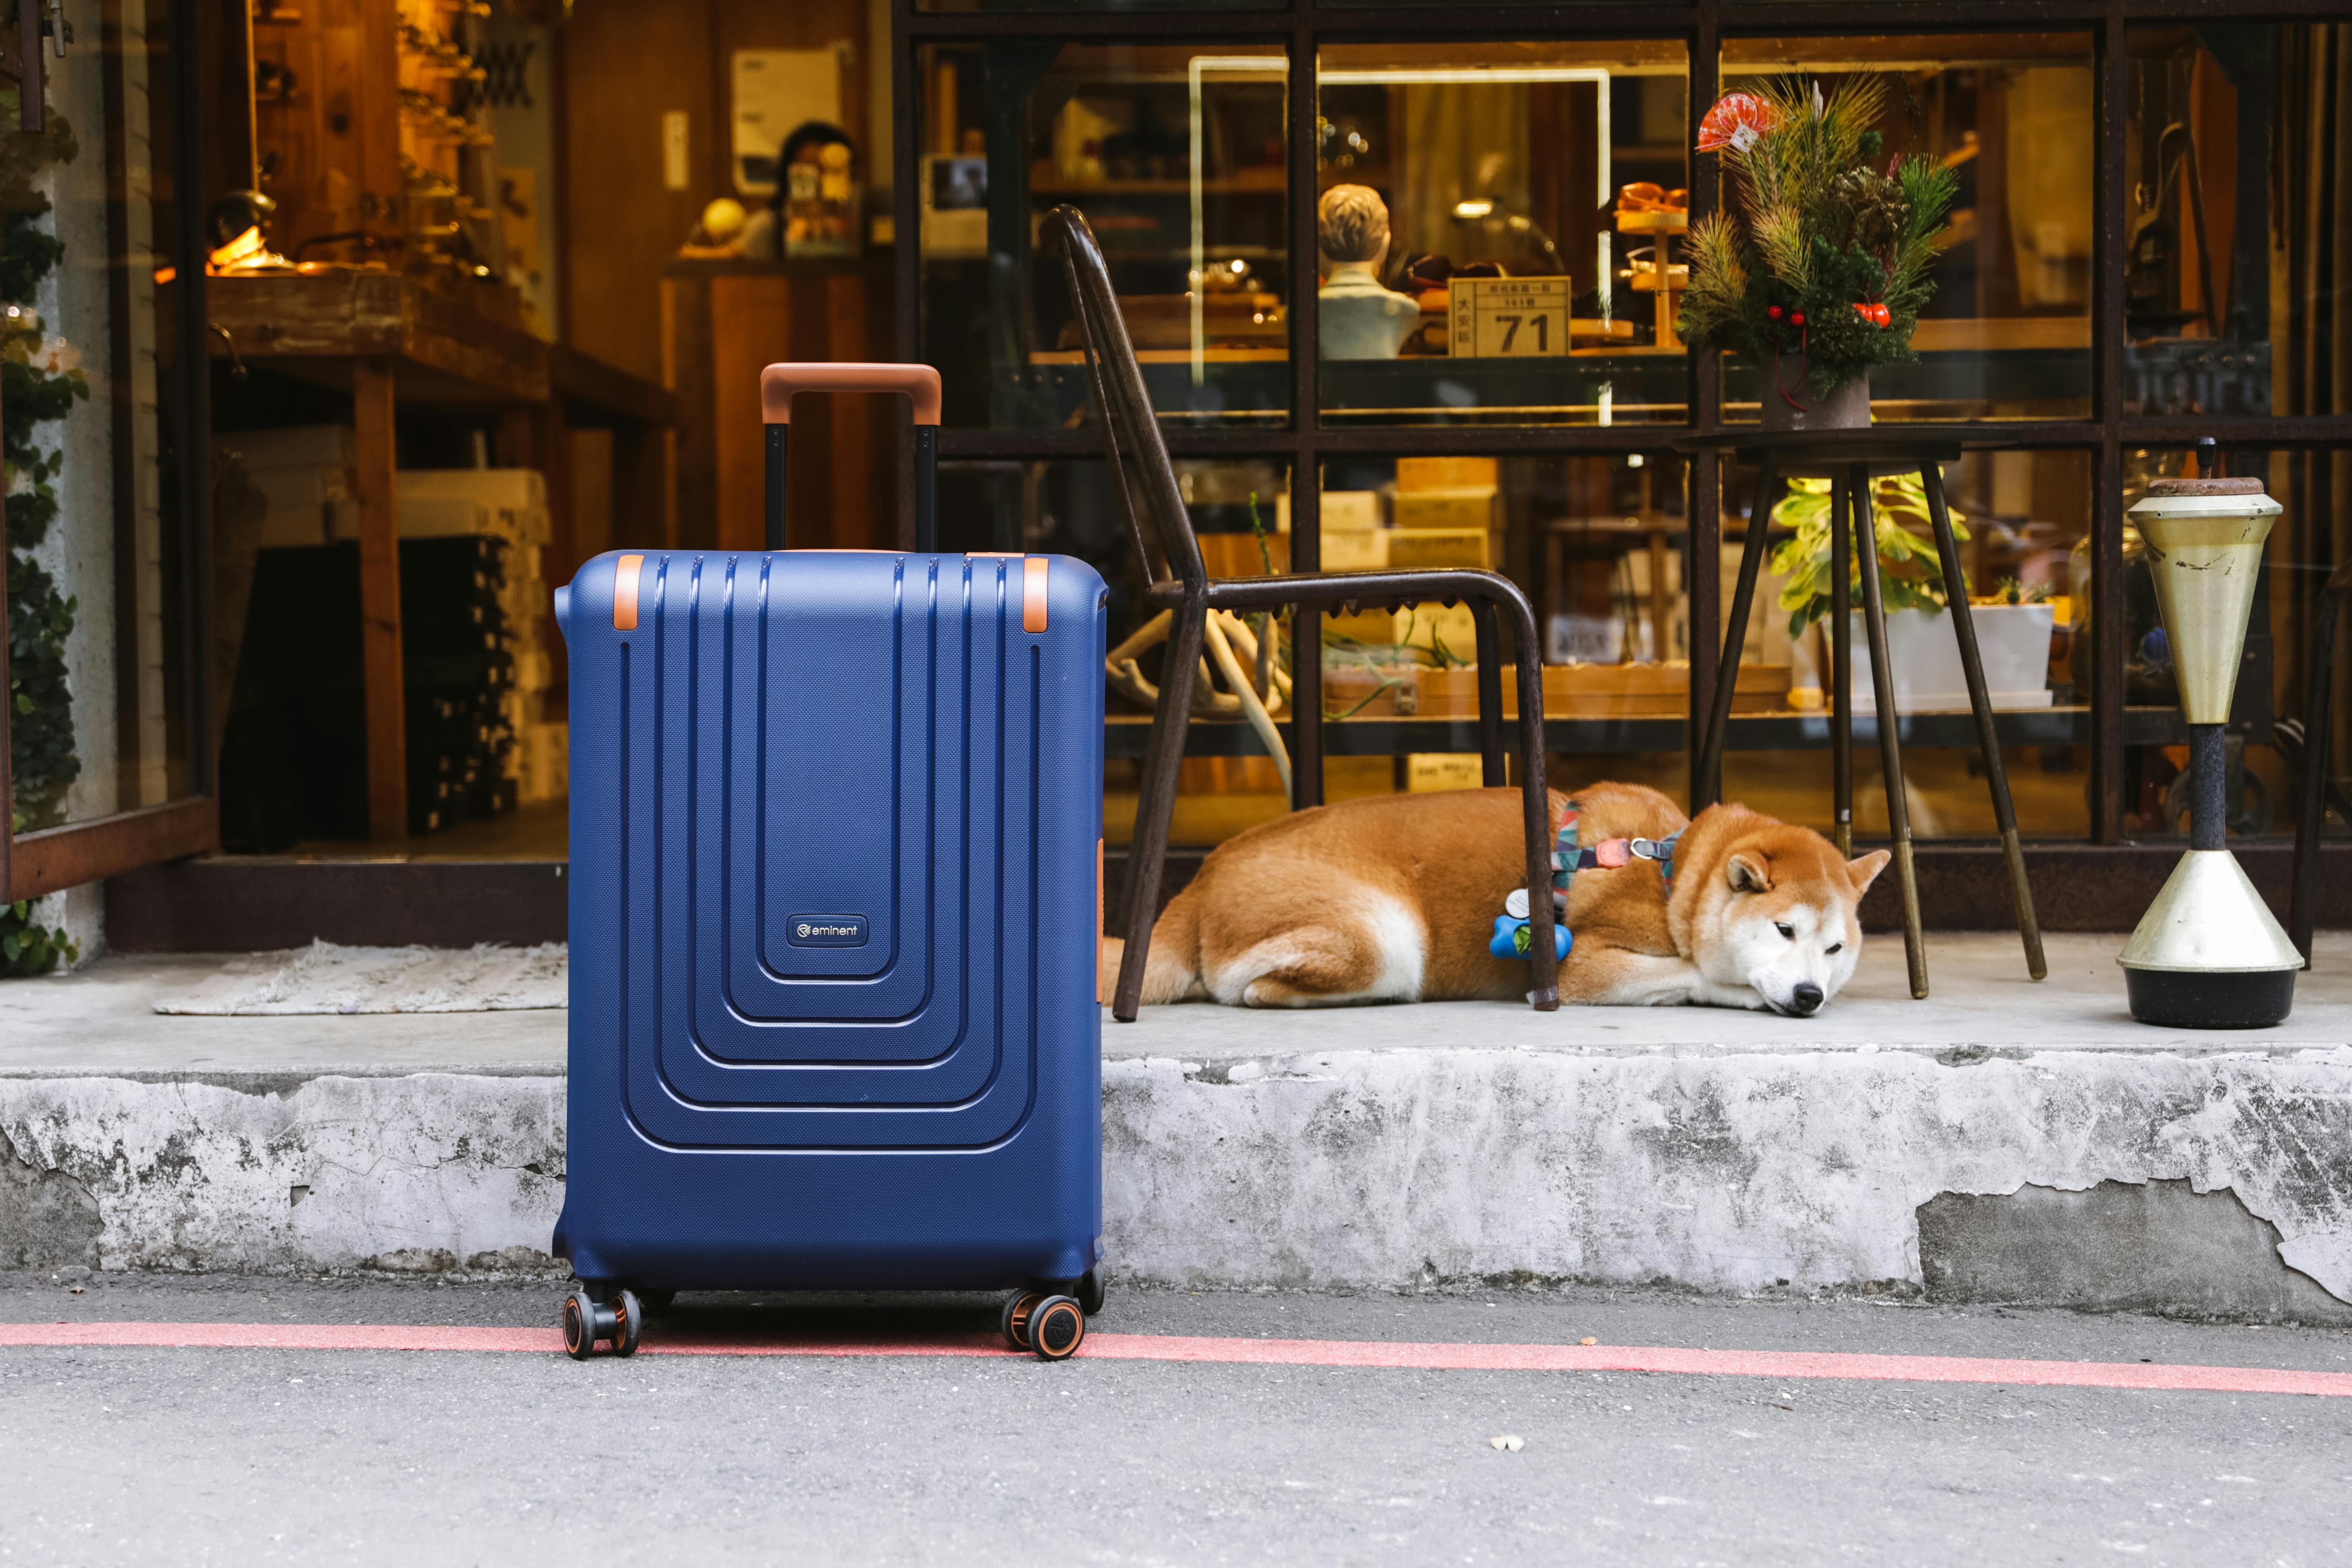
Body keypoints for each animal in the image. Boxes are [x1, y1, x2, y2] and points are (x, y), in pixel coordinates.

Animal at [1101, 785, 1891, 1020]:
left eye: (1834, 948)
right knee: (1253, 990)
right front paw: (1740, 991)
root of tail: (1196, 882)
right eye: (1783, 930)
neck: (1674, 874)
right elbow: (1698, 974)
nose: (1810, 995)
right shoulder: (1583, 970)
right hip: (1384, 937)